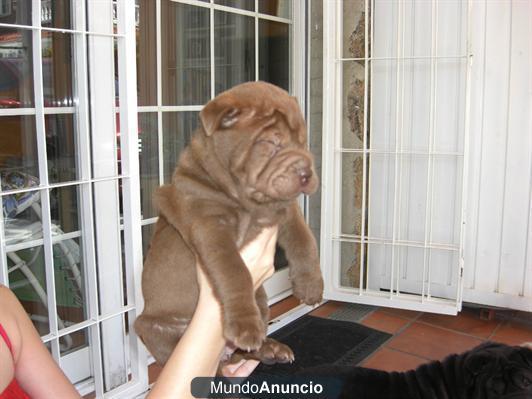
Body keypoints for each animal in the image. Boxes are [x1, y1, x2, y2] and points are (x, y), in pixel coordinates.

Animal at [134, 81, 324, 368]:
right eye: (271, 143)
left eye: (302, 141)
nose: (306, 173)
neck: (250, 203)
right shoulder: (211, 228)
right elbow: (234, 270)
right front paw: (245, 326)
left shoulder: (286, 209)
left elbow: (305, 239)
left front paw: (311, 285)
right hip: (151, 328)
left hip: (262, 299)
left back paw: (271, 349)